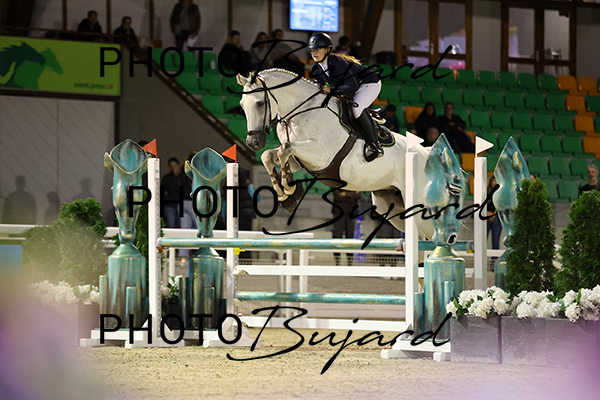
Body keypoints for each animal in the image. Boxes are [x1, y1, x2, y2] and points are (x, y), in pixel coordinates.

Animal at [236, 69, 436, 241]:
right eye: (241, 106)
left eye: (259, 103)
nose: (253, 143)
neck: (302, 111)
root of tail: (425, 153)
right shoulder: (299, 160)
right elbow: (270, 155)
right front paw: (286, 196)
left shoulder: (320, 155)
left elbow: (284, 149)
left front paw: (289, 188)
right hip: (391, 205)